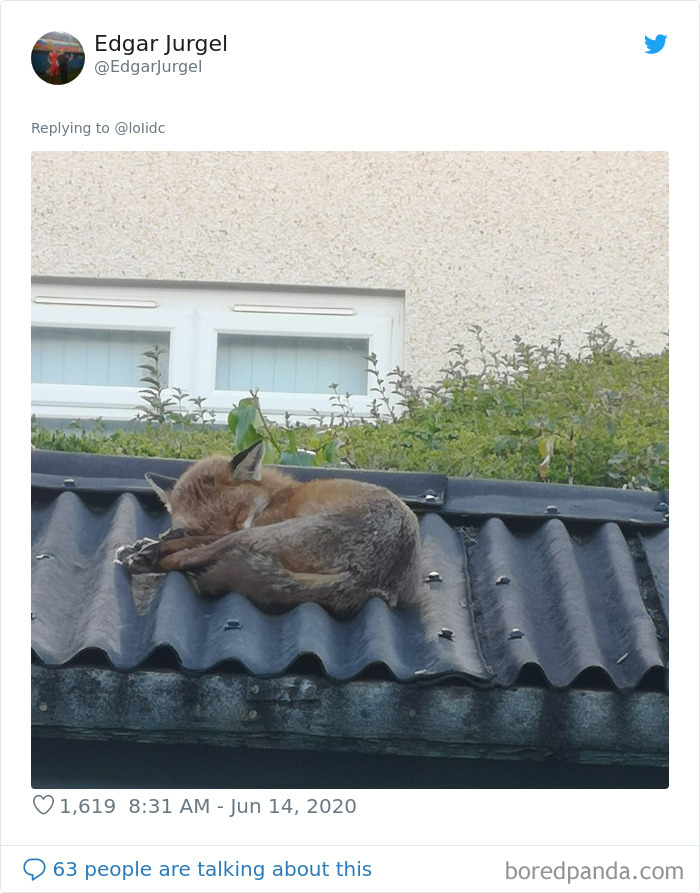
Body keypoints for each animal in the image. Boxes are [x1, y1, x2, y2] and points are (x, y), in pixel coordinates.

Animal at [118, 441, 423, 619]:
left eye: (238, 514)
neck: (273, 496)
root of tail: (372, 579)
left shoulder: (246, 527)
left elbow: (198, 542)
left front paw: (151, 547)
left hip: (263, 534)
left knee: (193, 557)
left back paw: (151, 560)